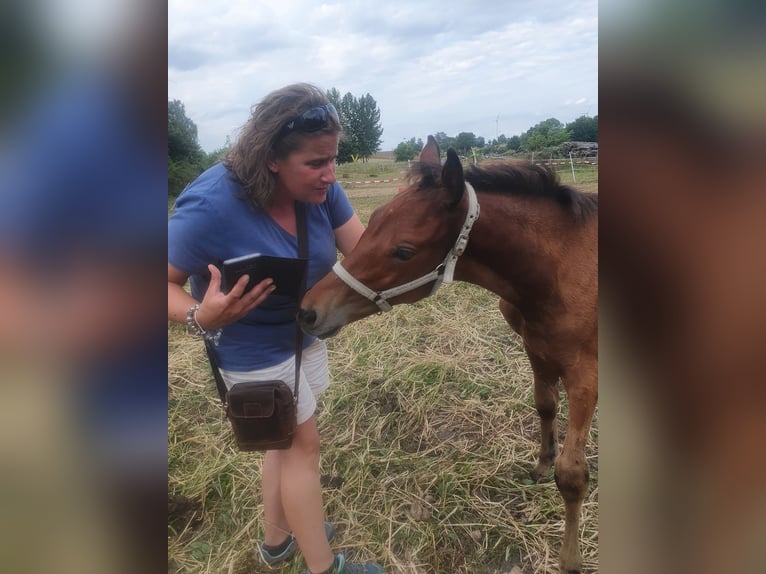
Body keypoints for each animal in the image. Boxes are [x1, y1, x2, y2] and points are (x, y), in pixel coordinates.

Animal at [300, 137, 600, 572]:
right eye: (372, 221)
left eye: (404, 251)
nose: (308, 311)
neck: (559, 272)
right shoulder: (536, 349)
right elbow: (545, 406)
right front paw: (542, 464)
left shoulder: (585, 376)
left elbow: (573, 475)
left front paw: (571, 559)